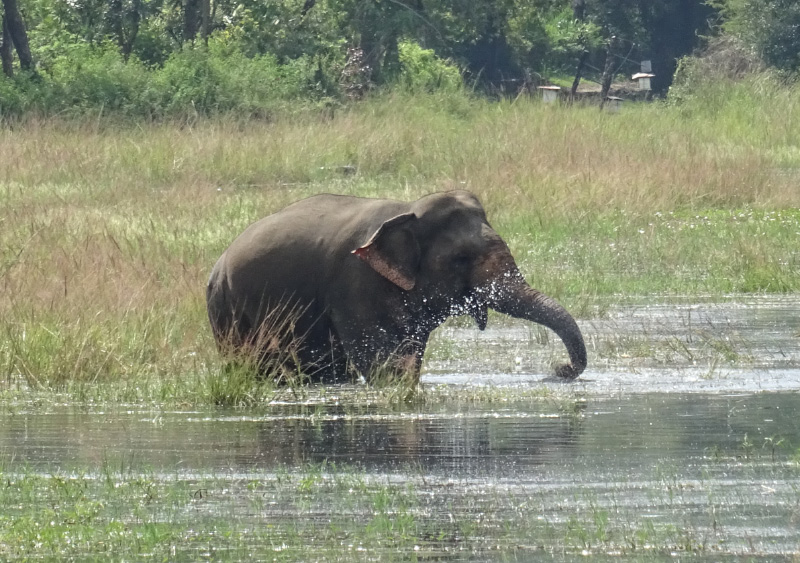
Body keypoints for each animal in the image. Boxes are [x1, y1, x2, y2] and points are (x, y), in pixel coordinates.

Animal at [206, 190, 587, 383]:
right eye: (461, 259)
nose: (559, 369)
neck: (410, 210)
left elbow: (410, 352)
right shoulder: (354, 281)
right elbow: (381, 361)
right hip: (226, 311)